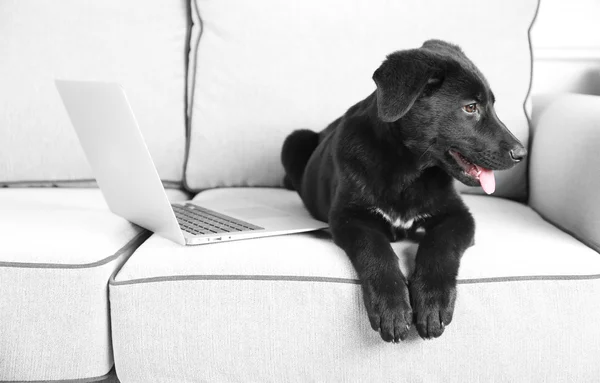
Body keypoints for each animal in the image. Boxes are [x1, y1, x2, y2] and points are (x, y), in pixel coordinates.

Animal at [282, 40, 524, 344]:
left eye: (491, 105)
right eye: (471, 107)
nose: (522, 154)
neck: (407, 171)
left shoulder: (457, 215)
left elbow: (439, 245)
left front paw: (432, 302)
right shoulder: (348, 217)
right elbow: (375, 250)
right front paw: (393, 308)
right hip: (294, 139)